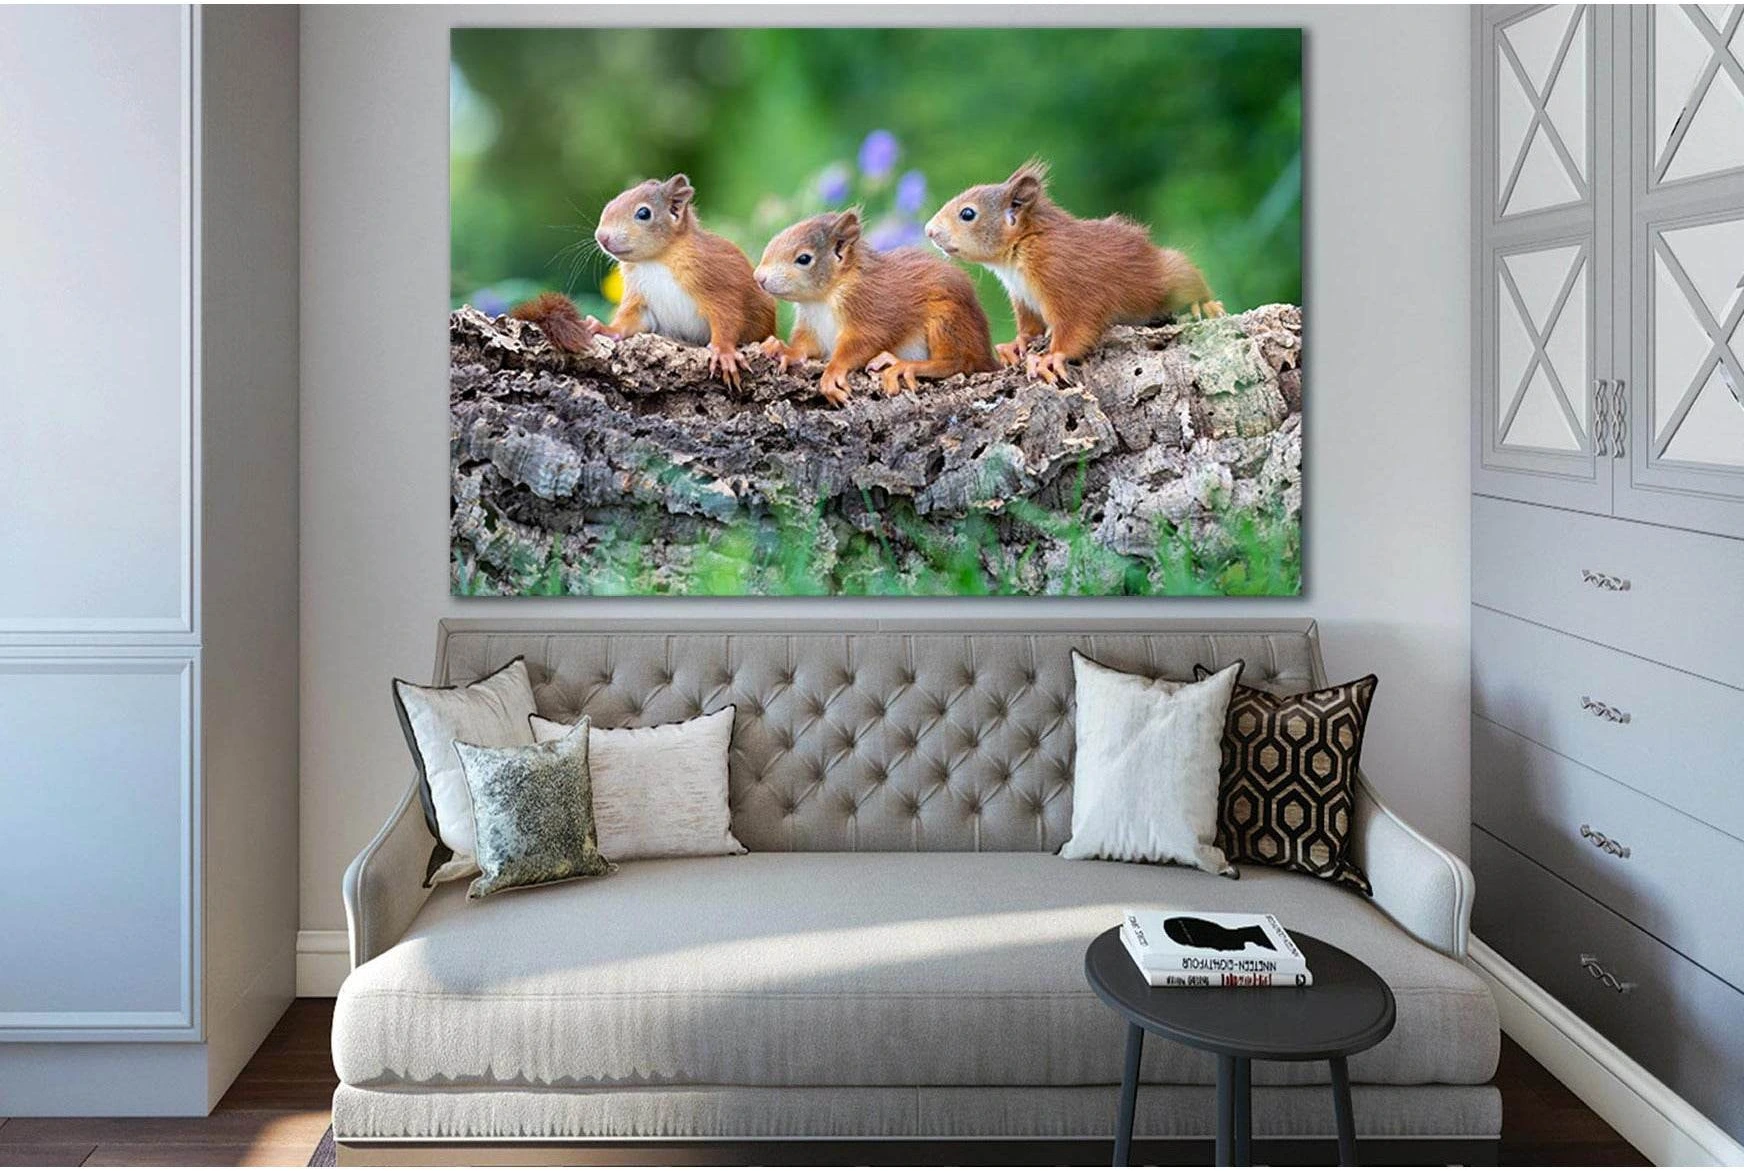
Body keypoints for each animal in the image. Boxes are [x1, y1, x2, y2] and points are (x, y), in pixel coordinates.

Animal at [510, 174, 776, 390]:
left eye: (644, 213)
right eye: (609, 205)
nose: (601, 237)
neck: (656, 260)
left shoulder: (715, 281)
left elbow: (727, 316)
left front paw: (723, 352)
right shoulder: (640, 296)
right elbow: (629, 323)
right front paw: (602, 328)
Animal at [753, 209, 997, 406]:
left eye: (804, 258)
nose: (758, 277)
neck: (823, 299)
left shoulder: (870, 307)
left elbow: (863, 342)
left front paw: (832, 372)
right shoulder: (812, 326)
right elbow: (805, 347)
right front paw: (785, 350)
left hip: (947, 318)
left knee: (958, 361)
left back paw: (904, 365)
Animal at [925, 160, 1224, 385]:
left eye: (967, 214)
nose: (928, 231)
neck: (1017, 253)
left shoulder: (1062, 277)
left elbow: (1076, 325)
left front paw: (1051, 357)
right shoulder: (1023, 298)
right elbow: (1030, 327)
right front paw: (1015, 345)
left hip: (1166, 279)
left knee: (1188, 277)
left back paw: (1206, 304)